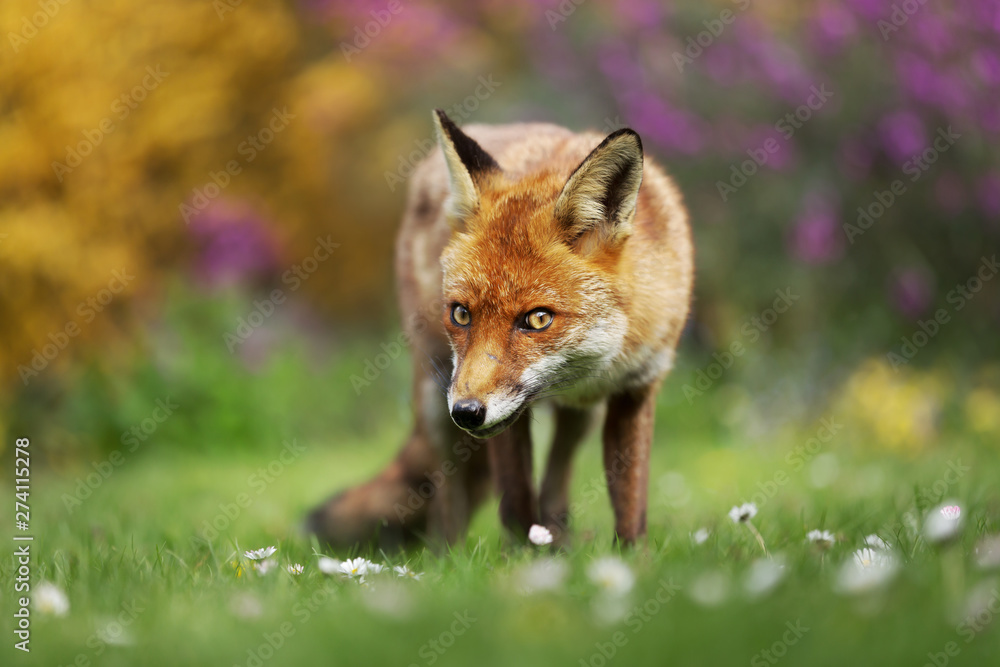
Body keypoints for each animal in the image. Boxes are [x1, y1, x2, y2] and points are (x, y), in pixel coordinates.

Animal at [306, 109, 693, 548]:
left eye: (538, 319)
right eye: (461, 314)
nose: (467, 413)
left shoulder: (637, 388)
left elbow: (631, 503)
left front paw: (632, 560)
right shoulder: (503, 419)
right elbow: (516, 500)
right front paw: (524, 560)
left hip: (577, 414)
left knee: (558, 467)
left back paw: (559, 537)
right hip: (435, 391)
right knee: (447, 495)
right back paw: (447, 554)